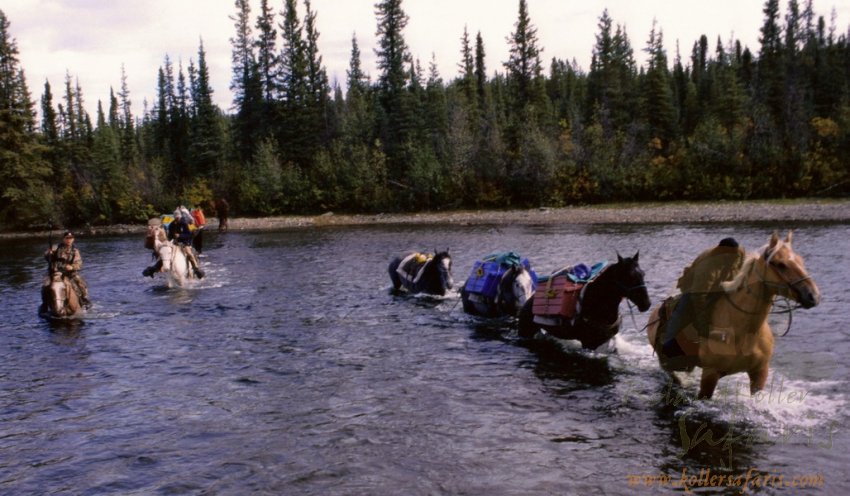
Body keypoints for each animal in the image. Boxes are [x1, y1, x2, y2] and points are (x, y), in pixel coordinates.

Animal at [516, 252, 648, 348]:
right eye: (629, 276)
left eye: (643, 273)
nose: (647, 303)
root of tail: (528, 301)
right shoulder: (590, 344)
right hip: (525, 331)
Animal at [644, 232, 820, 400]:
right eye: (780, 264)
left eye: (801, 260)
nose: (813, 296)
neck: (744, 331)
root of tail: (654, 313)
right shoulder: (710, 373)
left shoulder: (760, 372)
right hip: (669, 361)